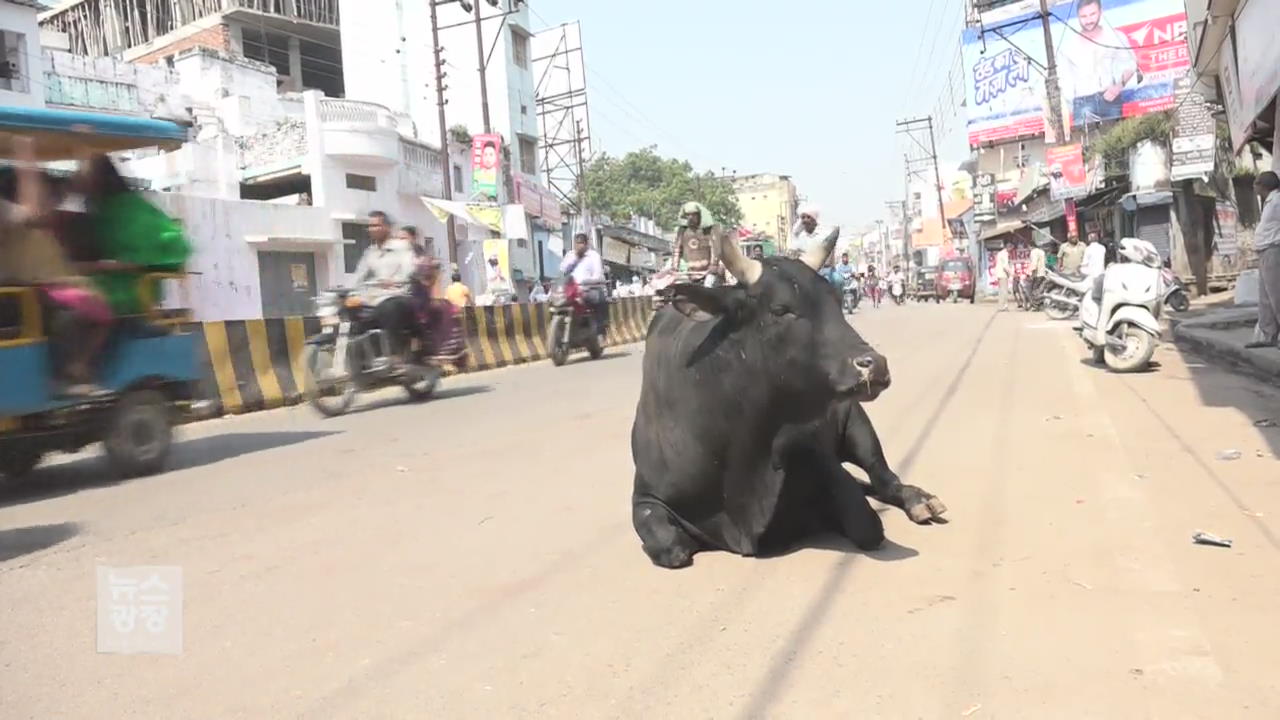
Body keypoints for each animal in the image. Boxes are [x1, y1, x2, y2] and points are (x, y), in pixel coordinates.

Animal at [632, 256, 947, 566]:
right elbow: (672, 547)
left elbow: (866, 524)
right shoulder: (644, 498)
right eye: (780, 309)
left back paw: (920, 501)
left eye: (836, 301)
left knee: (883, 479)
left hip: (858, 425)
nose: (876, 364)